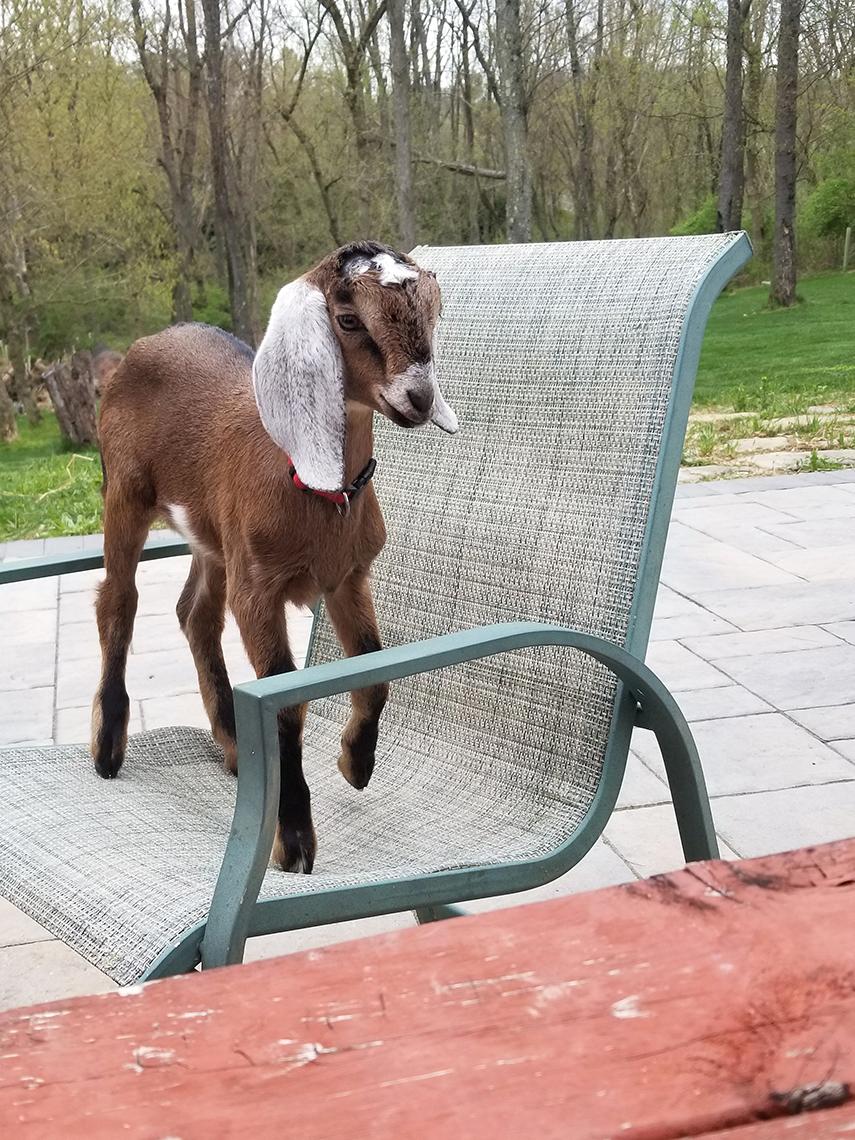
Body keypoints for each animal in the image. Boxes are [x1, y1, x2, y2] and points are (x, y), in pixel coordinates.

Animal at [92, 240, 457, 873]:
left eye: (433, 309)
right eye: (349, 319)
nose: (419, 398)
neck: (315, 490)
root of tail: (147, 343)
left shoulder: (347, 577)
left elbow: (375, 671)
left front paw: (356, 764)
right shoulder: (258, 589)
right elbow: (286, 703)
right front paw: (293, 838)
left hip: (213, 536)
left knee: (195, 614)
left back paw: (237, 745)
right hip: (126, 491)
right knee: (119, 600)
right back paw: (109, 744)